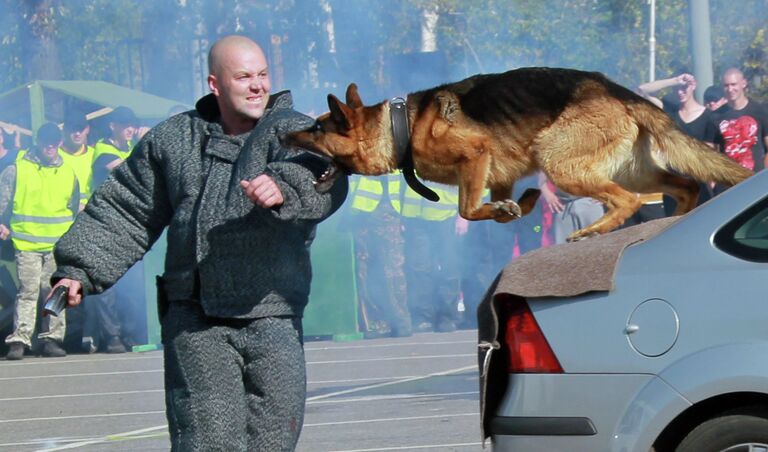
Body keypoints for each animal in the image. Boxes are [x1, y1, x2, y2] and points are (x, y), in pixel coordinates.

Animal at [282, 67, 752, 240]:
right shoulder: (496, 175)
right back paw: (677, 220)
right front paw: (515, 206)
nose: (285, 137)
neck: (400, 128)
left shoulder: (475, 155)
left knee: (628, 201)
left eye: (317, 129)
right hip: (634, 170)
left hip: (559, 159)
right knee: (685, 185)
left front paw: (503, 209)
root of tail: (621, 92)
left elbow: (467, 209)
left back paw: (595, 230)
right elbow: (499, 208)